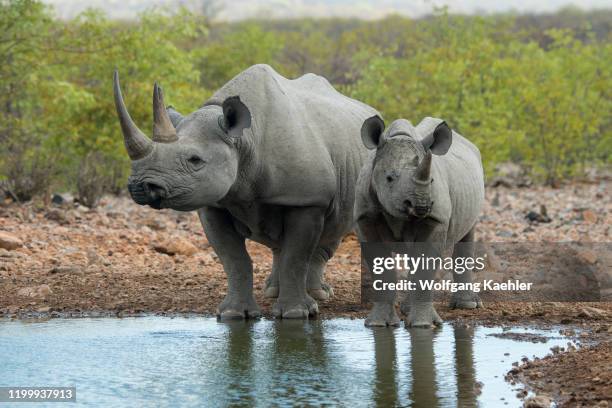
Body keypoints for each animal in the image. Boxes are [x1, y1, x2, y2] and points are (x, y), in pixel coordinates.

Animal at [112, 63, 376, 318]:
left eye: (195, 160)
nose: (140, 186)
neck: (244, 140)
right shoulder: (213, 203)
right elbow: (234, 259)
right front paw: (233, 314)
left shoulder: (307, 199)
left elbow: (296, 257)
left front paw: (296, 313)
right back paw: (272, 291)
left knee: (331, 231)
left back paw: (319, 295)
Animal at [354, 116, 482, 326]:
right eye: (389, 178)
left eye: (431, 181)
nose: (421, 205)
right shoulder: (365, 217)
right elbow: (381, 270)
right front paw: (378, 324)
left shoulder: (435, 218)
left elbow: (425, 268)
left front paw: (423, 325)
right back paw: (407, 309)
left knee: (467, 232)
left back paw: (467, 305)